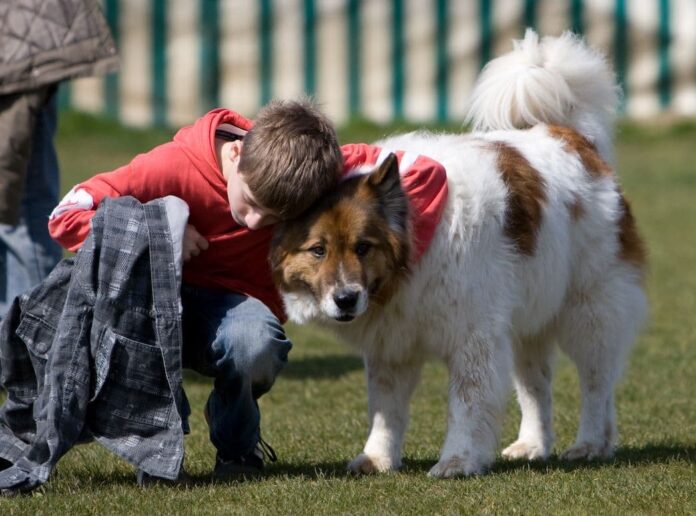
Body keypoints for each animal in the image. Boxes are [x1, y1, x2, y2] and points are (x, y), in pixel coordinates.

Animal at [270, 30, 648, 478]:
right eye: (318, 250)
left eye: (363, 247)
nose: (346, 299)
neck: (416, 240)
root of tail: (574, 138)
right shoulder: (392, 346)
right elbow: (385, 408)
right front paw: (378, 458)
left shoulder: (475, 338)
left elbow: (467, 405)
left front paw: (458, 460)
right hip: (527, 320)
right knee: (536, 387)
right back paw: (532, 445)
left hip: (590, 311)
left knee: (596, 383)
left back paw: (591, 443)